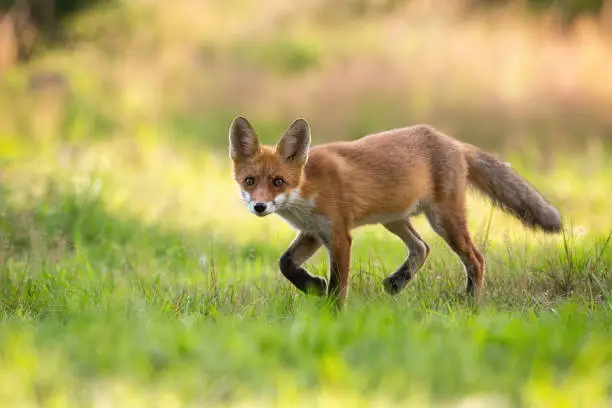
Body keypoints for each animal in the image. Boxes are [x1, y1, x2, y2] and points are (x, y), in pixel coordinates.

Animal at [228, 116, 560, 308]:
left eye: (278, 182)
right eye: (250, 181)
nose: (259, 206)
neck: (307, 188)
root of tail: (452, 141)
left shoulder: (338, 235)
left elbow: (338, 286)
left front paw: (333, 314)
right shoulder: (313, 232)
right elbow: (286, 264)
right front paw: (313, 287)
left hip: (444, 220)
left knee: (475, 259)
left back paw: (471, 304)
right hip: (395, 220)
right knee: (422, 247)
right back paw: (398, 282)